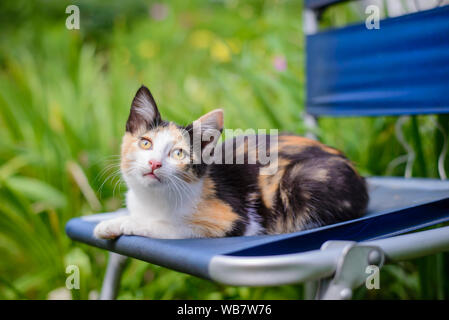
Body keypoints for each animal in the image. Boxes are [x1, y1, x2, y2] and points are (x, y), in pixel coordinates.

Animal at [93, 86, 366, 239]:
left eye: (179, 153)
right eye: (145, 143)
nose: (154, 164)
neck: (152, 200)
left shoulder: (231, 220)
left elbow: (167, 226)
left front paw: (120, 223)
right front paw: (112, 223)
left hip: (302, 180)